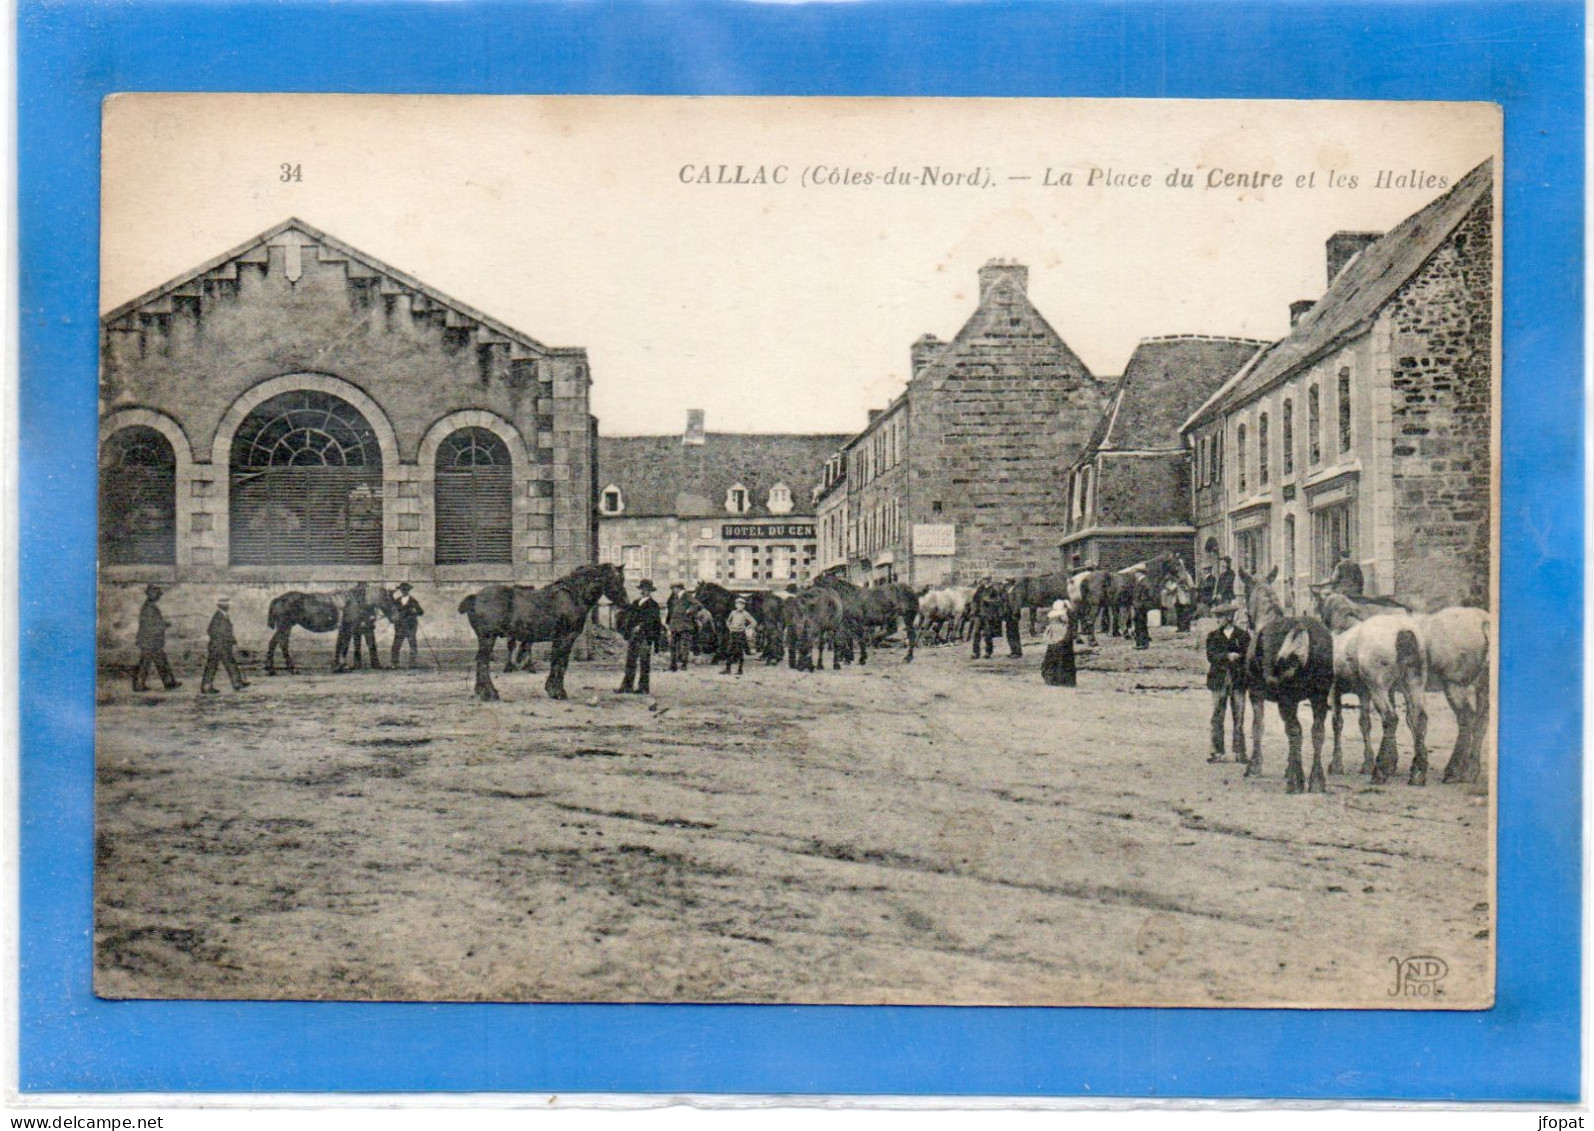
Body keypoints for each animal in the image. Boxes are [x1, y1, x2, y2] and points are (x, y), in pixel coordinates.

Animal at [264, 586, 395, 672]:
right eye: (389, 600)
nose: (395, 618)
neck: (354, 601)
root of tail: (279, 599)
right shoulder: (347, 627)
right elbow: (344, 645)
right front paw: (342, 665)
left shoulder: (344, 628)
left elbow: (341, 645)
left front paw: (337, 665)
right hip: (284, 626)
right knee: (279, 643)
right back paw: (284, 667)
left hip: (286, 626)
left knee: (277, 643)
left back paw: (275, 667)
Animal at [459, 563, 624, 704]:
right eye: (612, 579)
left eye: (621, 578)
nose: (624, 602)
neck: (573, 596)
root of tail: (475, 597)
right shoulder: (566, 637)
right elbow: (560, 662)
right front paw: (558, 692)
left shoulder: (559, 639)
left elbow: (556, 662)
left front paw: (552, 689)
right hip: (488, 638)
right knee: (483, 661)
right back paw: (489, 694)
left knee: (481, 661)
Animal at [1236, 567, 1338, 796]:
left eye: (1245, 591)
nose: (1248, 620)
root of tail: (1301, 627)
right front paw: (1289, 766)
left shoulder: (1255, 693)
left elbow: (1258, 727)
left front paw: (1254, 766)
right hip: (1319, 694)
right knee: (1317, 732)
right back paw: (1316, 779)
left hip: (1286, 698)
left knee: (1296, 731)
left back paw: (1296, 781)